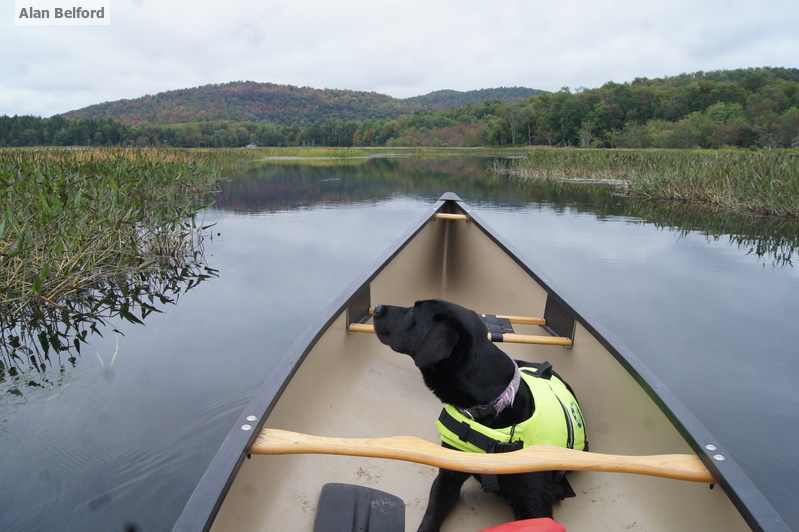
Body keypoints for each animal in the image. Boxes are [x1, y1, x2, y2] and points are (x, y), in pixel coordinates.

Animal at [372, 300, 584, 532]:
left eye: (413, 311)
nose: (377, 307)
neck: (491, 405)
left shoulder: (535, 506)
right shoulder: (447, 477)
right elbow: (430, 518)